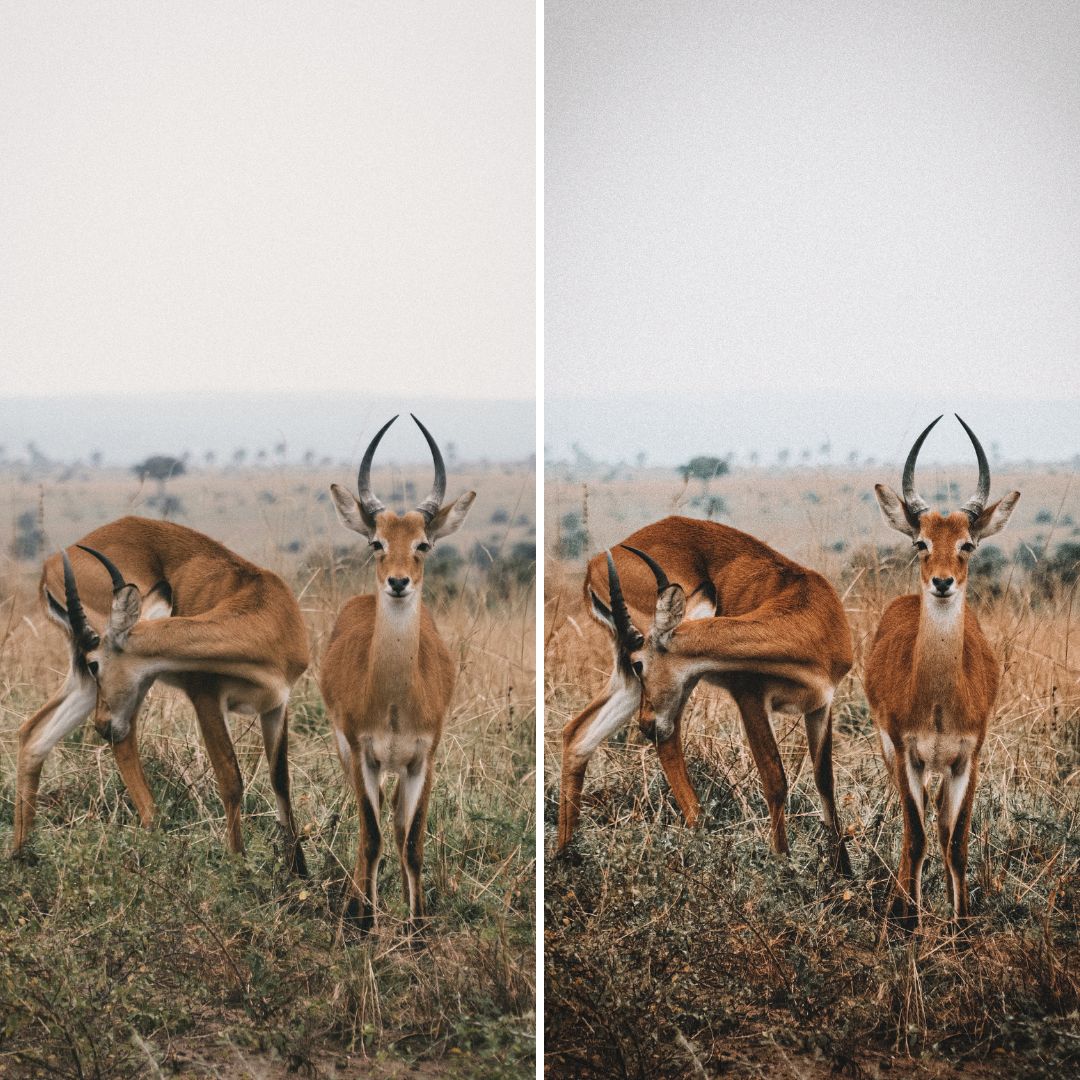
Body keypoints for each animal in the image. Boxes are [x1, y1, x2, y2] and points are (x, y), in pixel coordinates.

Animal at [14, 516, 311, 876]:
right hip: (131, 686)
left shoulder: (277, 705)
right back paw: (153, 832)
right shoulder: (206, 698)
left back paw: (20, 856)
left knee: (34, 734)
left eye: (96, 663)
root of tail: (52, 563)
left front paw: (299, 873)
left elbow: (281, 782)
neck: (264, 613)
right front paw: (240, 867)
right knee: (123, 740)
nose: (101, 724)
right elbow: (231, 780)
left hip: (99, 684)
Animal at [317, 414, 475, 937]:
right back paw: (354, 903)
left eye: (423, 543)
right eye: (377, 542)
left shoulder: (423, 759)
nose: (399, 582)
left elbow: (412, 841)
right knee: (367, 823)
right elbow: (372, 837)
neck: (391, 701)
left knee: (397, 824)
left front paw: (419, 928)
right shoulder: (363, 754)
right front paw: (365, 922)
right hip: (347, 754)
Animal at [561, 516, 855, 876]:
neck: (809, 615)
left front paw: (844, 872)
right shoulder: (750, 698)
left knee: (578, 734)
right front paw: (782, 865)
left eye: (639, 663)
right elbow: (775, 780)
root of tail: (596, 562)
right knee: (667, 739)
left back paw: (563, 856)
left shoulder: (822, 705)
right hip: (677, 684)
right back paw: (701, 833)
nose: (645, 724)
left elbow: (825, 782)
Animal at [864, 412, 1015, 928]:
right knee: (911, 829)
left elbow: (956, 842)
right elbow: (917, 837)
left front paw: (963, 925)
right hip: (894, 755)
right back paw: (898, 905)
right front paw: (909, 922)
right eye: (921, 541)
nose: (943, 582)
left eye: (968, 543)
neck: (937, 700)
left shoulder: (968, 758)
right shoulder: (907, 753)